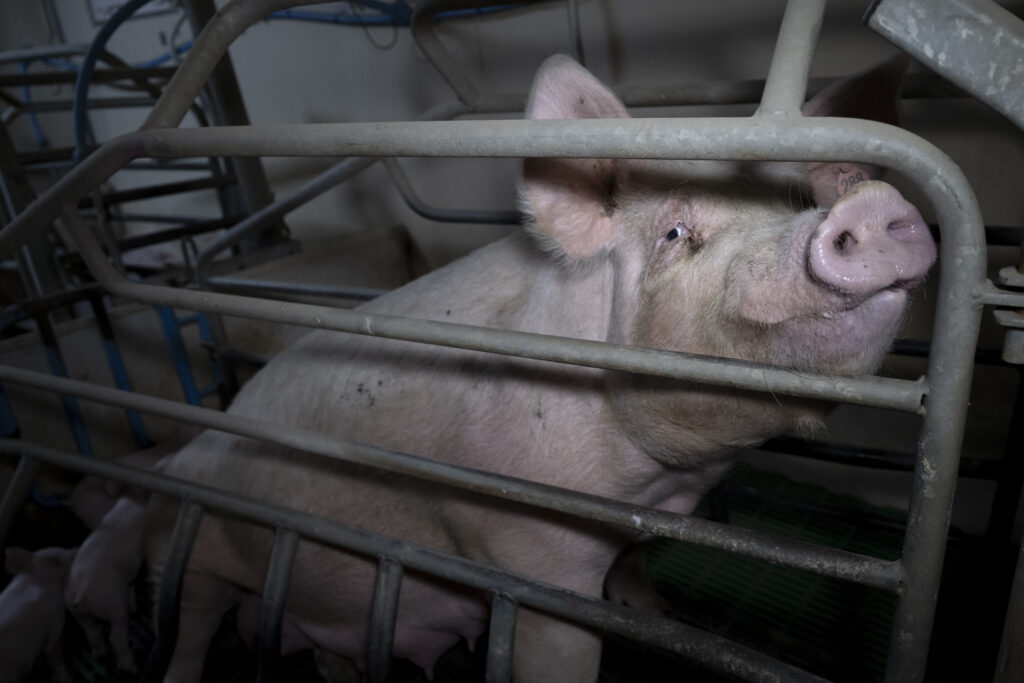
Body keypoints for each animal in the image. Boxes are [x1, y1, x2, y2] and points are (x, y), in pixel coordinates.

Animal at [147, 53, 935, 682]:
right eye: (676, 231)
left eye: (807, 198)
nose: (869, 203)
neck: (654, 484)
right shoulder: (527, 553)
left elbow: (639, 591)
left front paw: (660, 612)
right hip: (183, 539)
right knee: (186, 628)